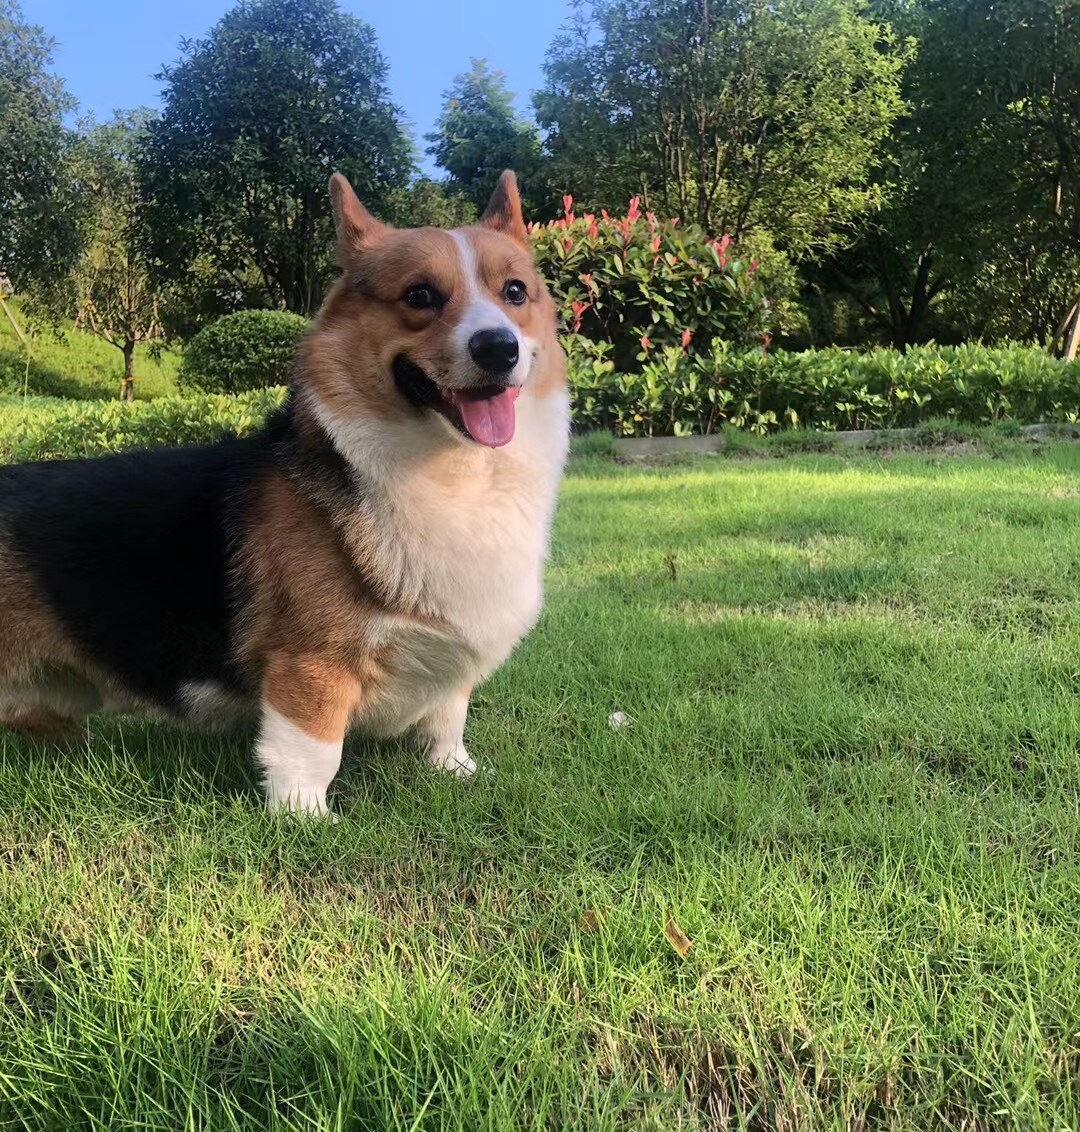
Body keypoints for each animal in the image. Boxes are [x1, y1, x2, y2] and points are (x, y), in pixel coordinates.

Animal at [0, 171, 569, 817]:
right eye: (420, 296)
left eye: (516, 292)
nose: (499, 347)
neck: (455, 469)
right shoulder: (311, 664)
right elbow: (312, 750)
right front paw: (305, 819)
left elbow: (448, 717)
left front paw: (456, 772)